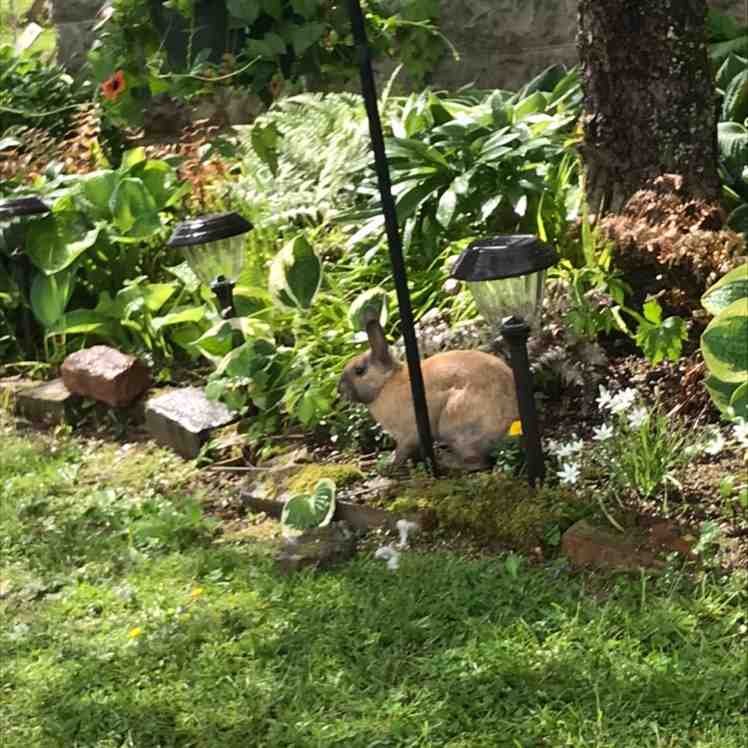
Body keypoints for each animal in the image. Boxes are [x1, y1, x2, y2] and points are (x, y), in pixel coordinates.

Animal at [338, 318, 520, 469]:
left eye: (359, 371)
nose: (339, 390)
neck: (385, 383)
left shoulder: (407, 435)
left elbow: (402, 451)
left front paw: (390, 467)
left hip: (456, 426)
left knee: (478, 463)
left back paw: (446, 462)